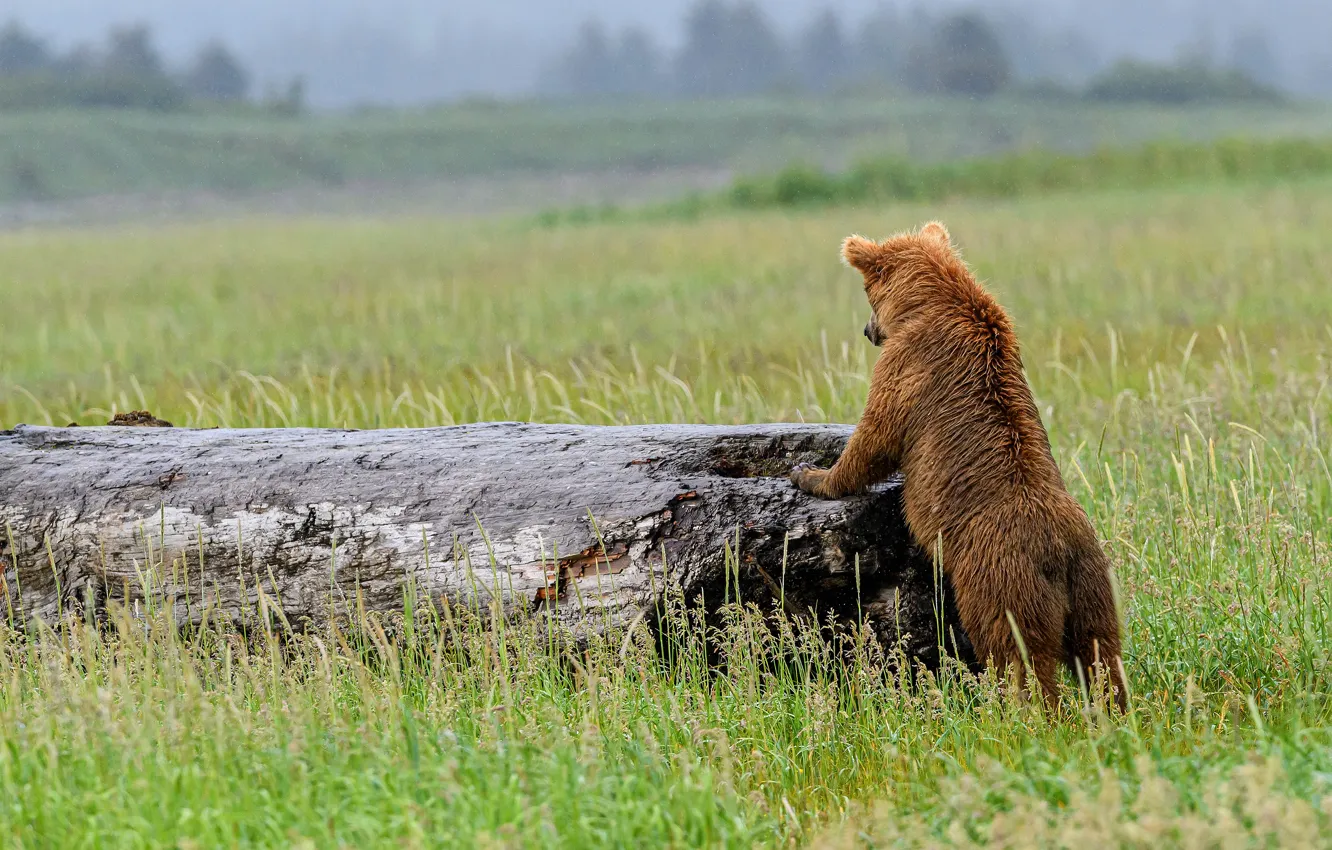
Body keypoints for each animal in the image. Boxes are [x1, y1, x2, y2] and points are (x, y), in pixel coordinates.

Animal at [791, 221, 1127, 713]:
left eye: (867, 294)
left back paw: (1024, 710)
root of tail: (1058, 552)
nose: (868, 330)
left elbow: (876, 435)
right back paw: (1114, 710)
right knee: (1102, 654)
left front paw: (811, 474)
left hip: (997, 580)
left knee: (1017, 653)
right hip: (1094, 585)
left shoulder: (909, 366)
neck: (932, 300)